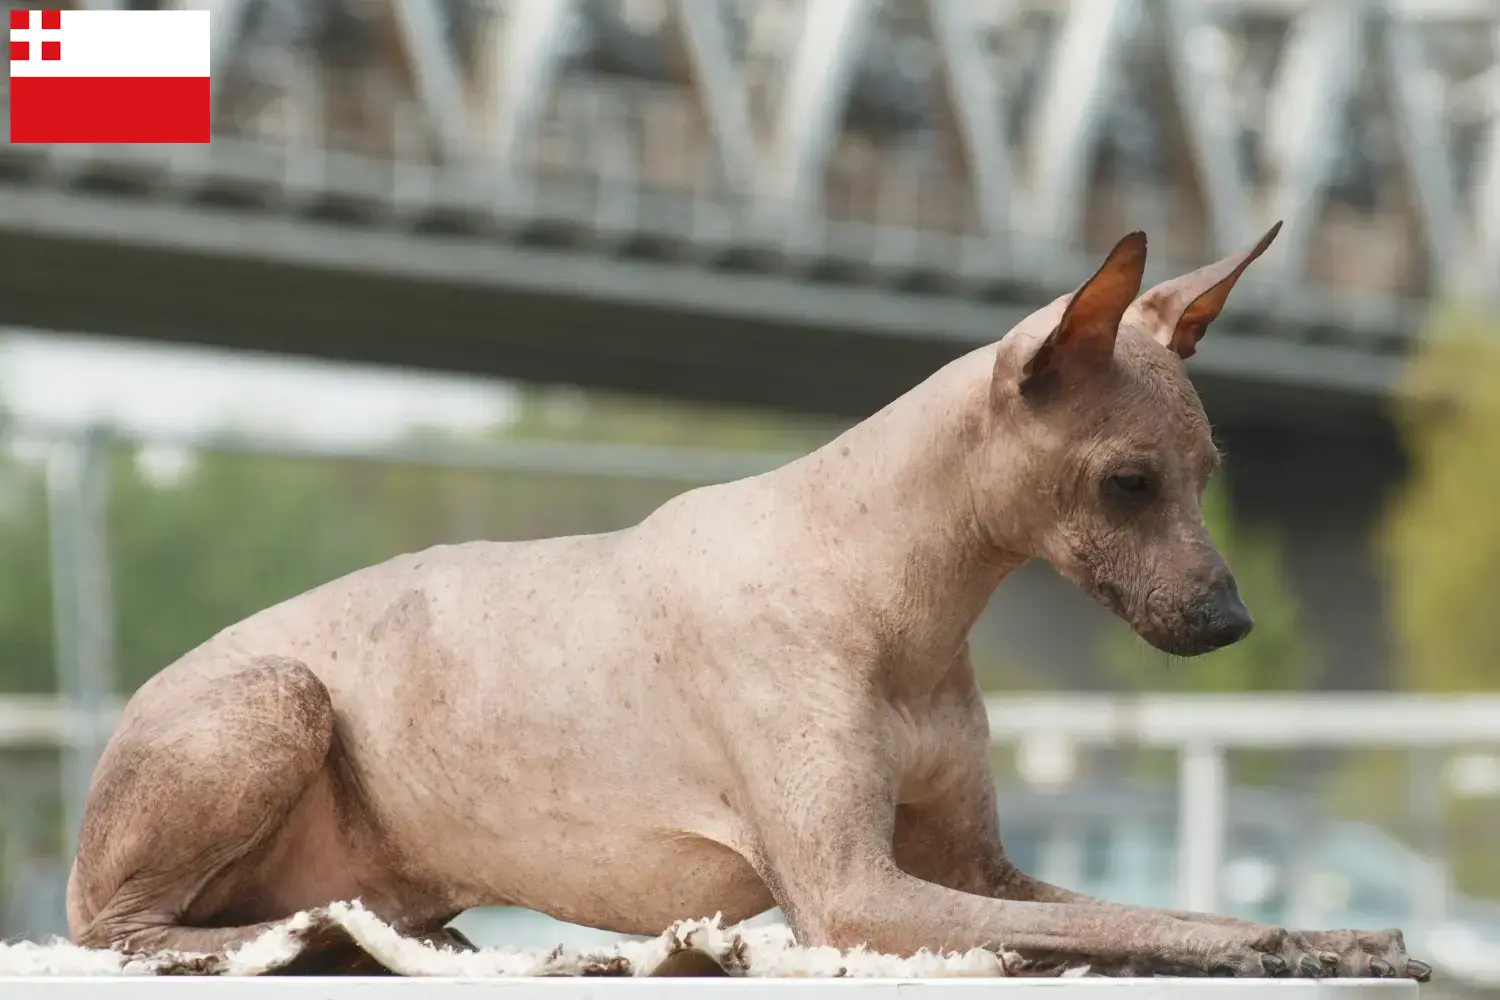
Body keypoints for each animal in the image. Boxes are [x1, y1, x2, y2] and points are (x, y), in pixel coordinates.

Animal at [64, 223, 1428, 983]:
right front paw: (1277, 943)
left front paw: (1334, 937)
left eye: (1209, 476)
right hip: (274, 698)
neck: (897, 599)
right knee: (122, 931)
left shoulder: (979, 867)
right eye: (1128, 483)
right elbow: (1156, 924)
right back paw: (317, 939)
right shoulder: (855, 897)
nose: (1232, 625)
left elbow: (1163, 908)